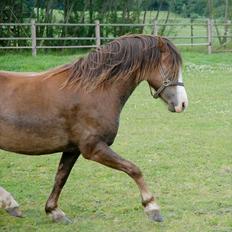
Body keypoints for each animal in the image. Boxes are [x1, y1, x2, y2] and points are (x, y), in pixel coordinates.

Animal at [0, 35, 188, 223]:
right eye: (170, 66)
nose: (183, 104)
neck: (93, 91)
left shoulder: (73, 149)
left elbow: (61, 177)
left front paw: (54, 211)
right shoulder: (93, 148)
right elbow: (134, 169)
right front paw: (152, 207)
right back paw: (10, 203)